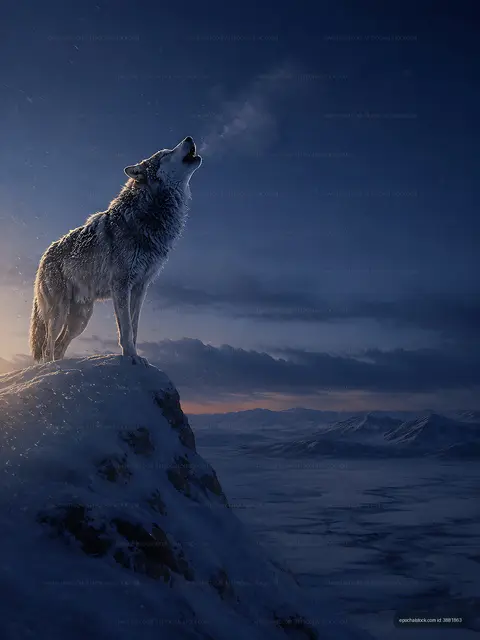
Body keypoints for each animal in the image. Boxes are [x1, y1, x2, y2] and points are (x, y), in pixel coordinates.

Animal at [29, 136, 202, 363]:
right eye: (166, 153)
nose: (189, 138)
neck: (148, 216)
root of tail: (44, 256)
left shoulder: (140, 287)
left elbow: (134, 328)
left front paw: (136, 358)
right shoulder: (121, 284)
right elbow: (126, 329)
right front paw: (132, 358)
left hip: (80, 319)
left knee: (59, 346)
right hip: (59, 312)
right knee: (48, 345)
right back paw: (51, 367)